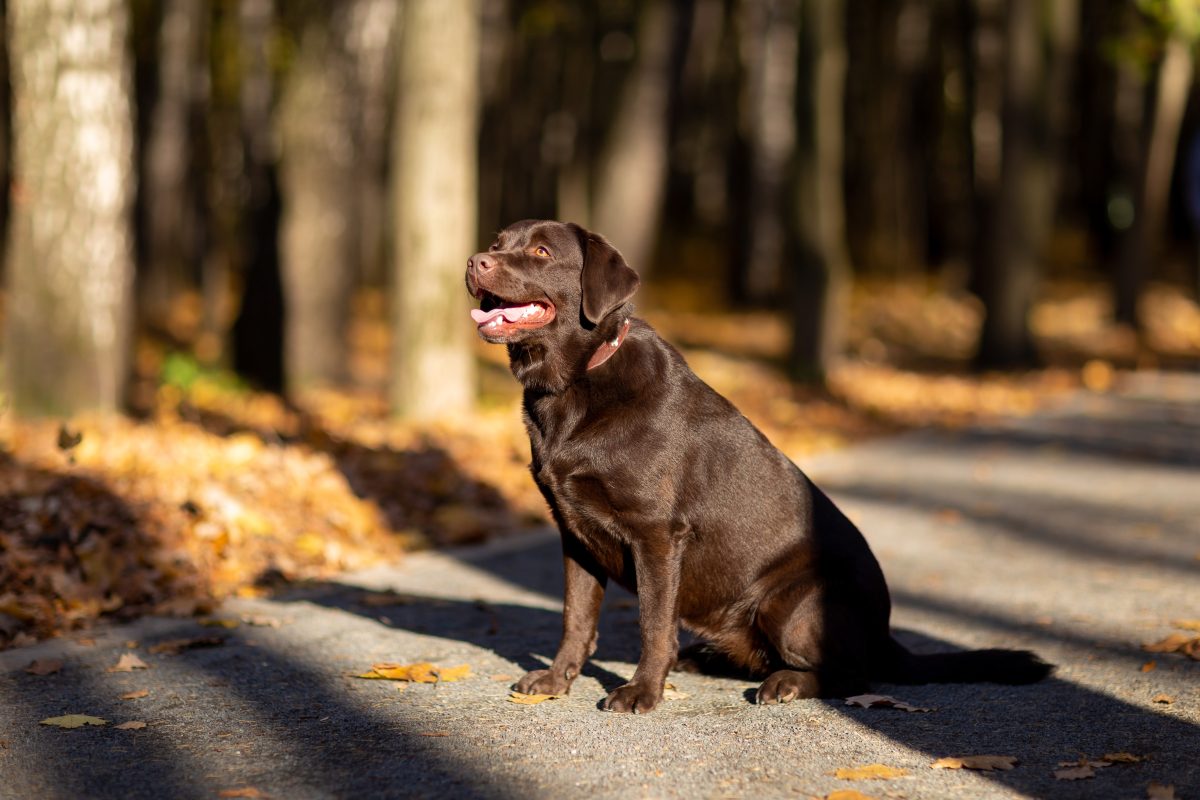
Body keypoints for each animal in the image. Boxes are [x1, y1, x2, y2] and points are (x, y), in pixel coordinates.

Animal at [463, 219, 1046, 714]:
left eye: (541, 252)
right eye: (497, 242)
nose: (473, 260)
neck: (574, 383)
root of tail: (885, 633)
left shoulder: (656, 534)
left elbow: (654, 624)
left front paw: (642, 692)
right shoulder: (574, 533)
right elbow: (576, 618)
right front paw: (555, 681)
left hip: (789, 603)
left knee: (852, 675)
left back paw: (784, 683)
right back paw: (707, 659)